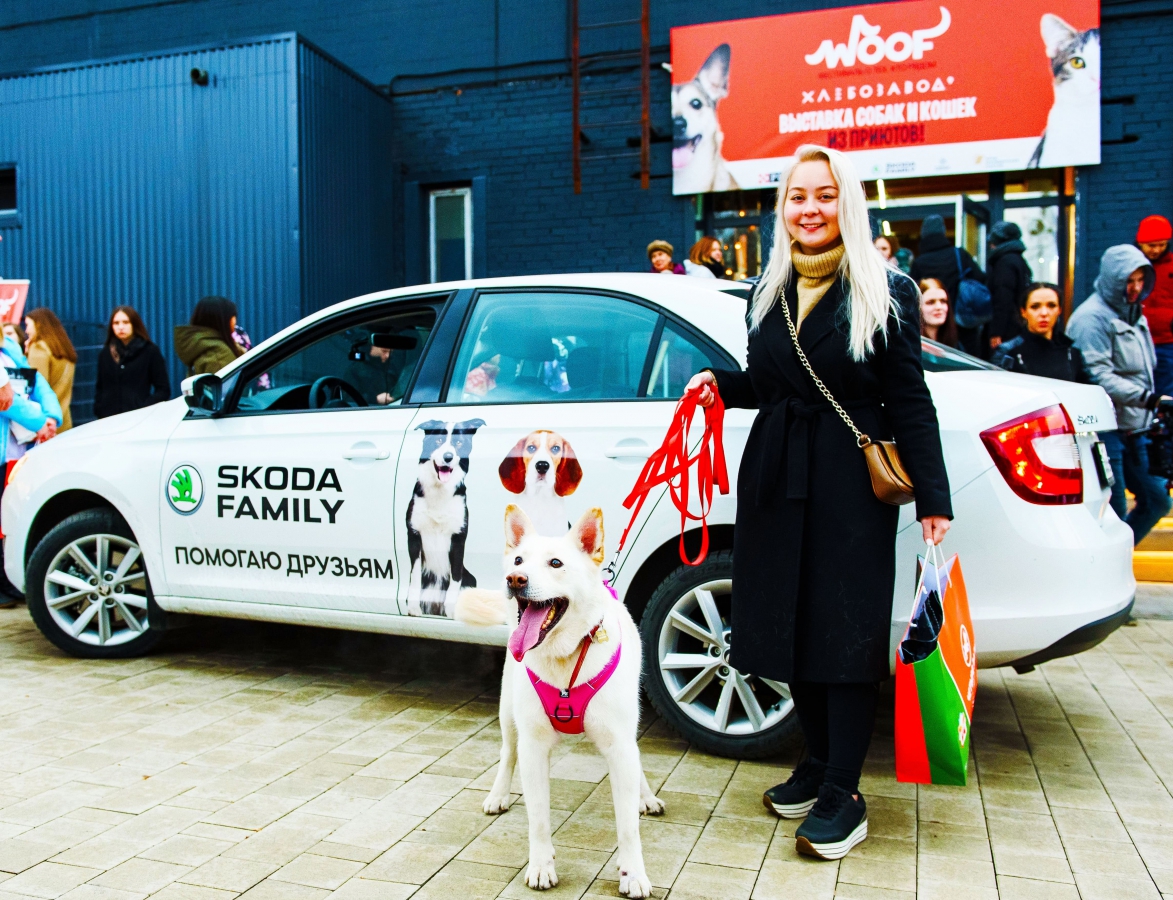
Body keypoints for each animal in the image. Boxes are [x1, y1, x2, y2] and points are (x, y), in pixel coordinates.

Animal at [406, 418, 485, 617]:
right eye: (438, 440)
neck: (439, 492)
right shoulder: (414, 535)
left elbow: (455, 576)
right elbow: (415, 575)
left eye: (459, 443)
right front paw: (413, 607)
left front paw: (451, 609)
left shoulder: (458, 538)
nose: (448, 457)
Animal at [456, 506, 663, 897]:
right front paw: (541, 866)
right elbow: (538, 818)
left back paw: (645, 796)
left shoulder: (619, 744)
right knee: (508, 752)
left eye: (556, 563)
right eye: (518, 560)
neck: (565, 658)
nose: (515, 579)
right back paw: (498, 794)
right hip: (508, 712)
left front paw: (634, 874)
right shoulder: (534, 748)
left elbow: (628, 825)